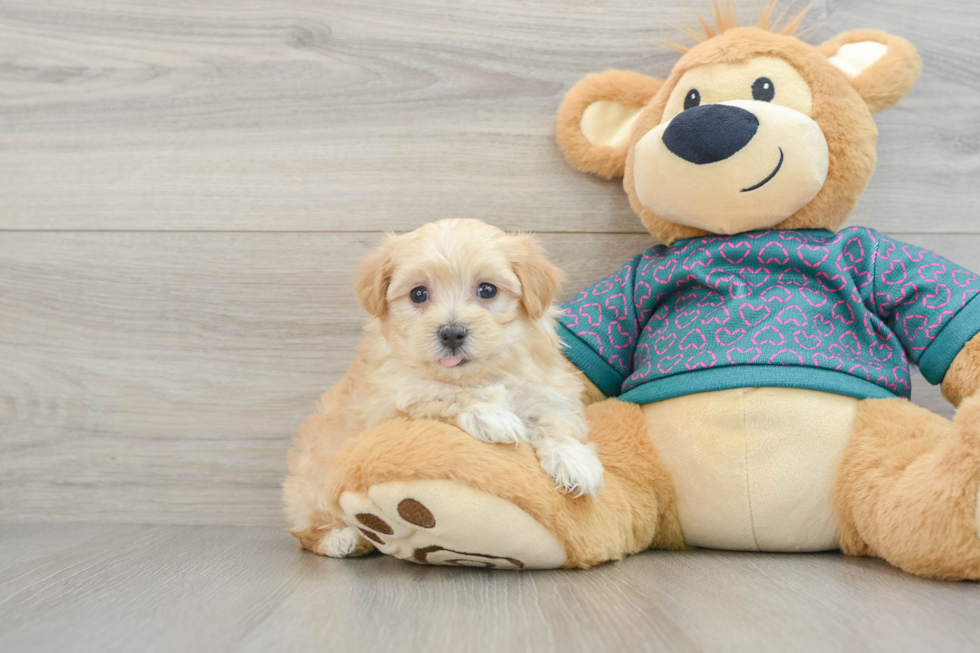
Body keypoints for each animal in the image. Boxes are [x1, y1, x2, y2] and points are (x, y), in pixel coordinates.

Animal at [282, 218, 604, 556]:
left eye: (487, 290)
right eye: (418, 294)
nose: (451, 333)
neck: (477, 374)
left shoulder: (545, 388)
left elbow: (556, 420)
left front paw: (574, 460)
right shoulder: (389, 400)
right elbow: (438, 395)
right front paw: (491, 415)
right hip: (311, 485)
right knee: (308, 530)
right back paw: (342, 538)